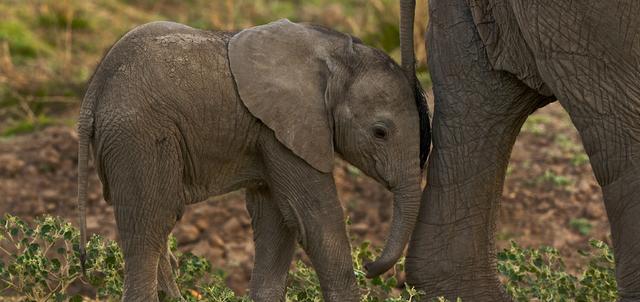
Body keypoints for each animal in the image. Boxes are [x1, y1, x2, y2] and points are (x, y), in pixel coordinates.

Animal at [79, 19, 430, 302]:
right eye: (380, 132)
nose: (370, 266)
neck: (333, 53)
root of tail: (93, 92)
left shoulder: (271, 134)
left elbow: (277, 221)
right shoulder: (283, 129)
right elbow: (314, 218)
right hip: (138, 137)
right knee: (149, 229)